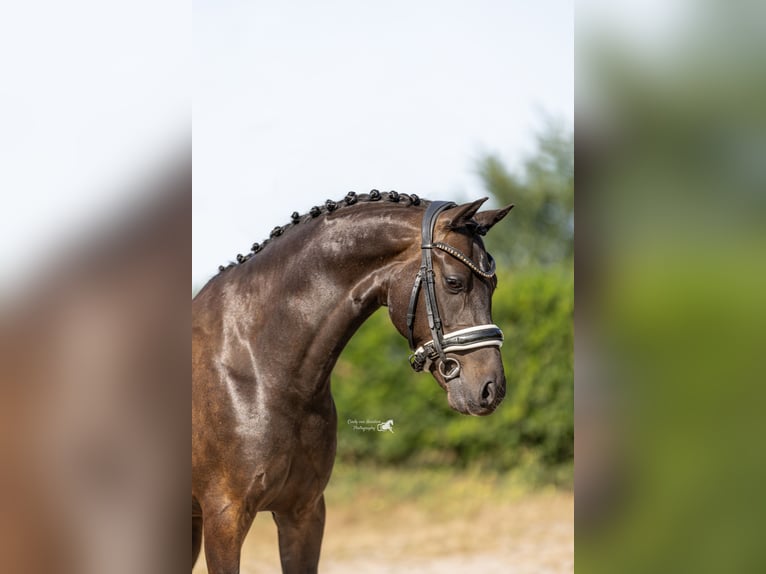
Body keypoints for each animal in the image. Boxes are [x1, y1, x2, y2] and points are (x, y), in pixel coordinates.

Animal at [192, 190, 513, 573]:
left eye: (493, 285)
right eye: (454, 282)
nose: (491, 389)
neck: (262, 369)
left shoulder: (303, 512)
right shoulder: (224, 516)